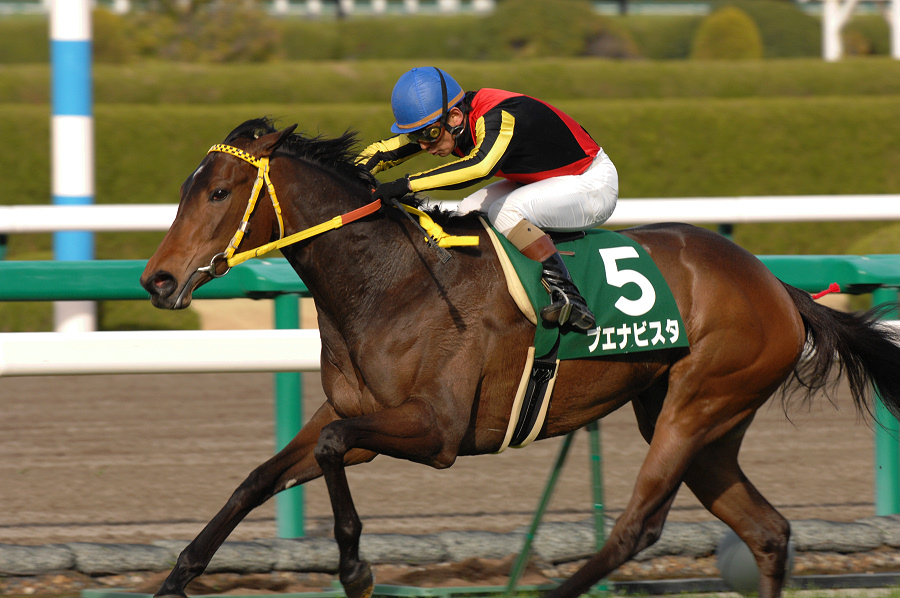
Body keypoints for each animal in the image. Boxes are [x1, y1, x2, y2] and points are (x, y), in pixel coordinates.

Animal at [140, 117, 900, 598]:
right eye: (182, 190)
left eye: (218, 192)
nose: (158, 280)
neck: (391, 279)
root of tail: (777, 285)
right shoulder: (353, 414)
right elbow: (258, 478)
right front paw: (177, 577)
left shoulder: (438, 432)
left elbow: (329, 451)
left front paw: (356, 567)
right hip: (705, 424)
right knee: (768, 532)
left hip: (698, 404)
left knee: (637, 527)